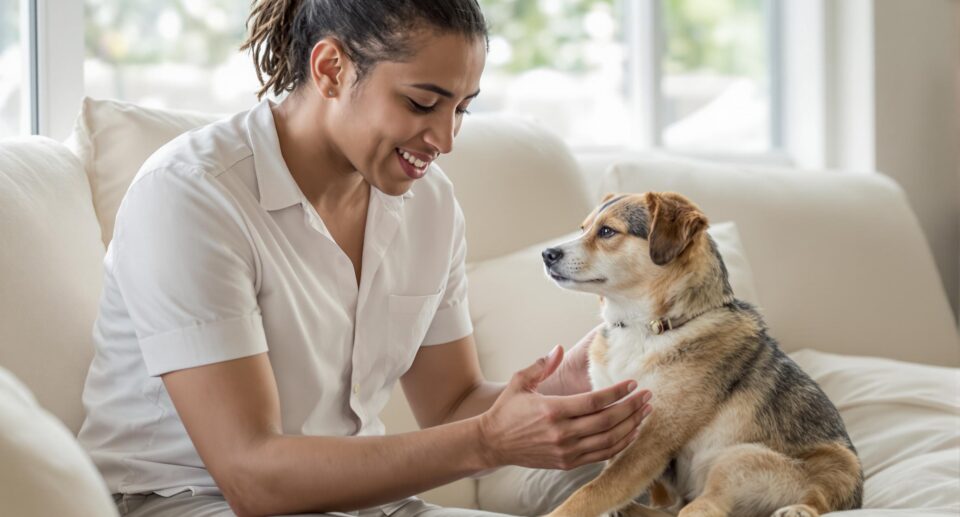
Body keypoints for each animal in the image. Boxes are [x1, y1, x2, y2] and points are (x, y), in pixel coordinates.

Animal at [540, 192, 864, 516]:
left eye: (607, 231)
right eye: (583, 228)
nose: (546, 253)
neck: (646, 328)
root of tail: (857, 498)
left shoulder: (654, 438)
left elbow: (594, 490)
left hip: (740, 460)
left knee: (704, 508)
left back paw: (797, 510)